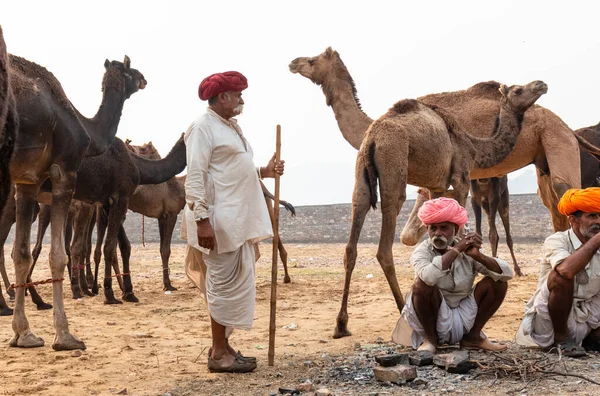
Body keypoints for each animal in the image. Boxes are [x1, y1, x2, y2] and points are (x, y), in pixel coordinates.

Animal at [7, 55, 145, 350]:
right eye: (131, 70)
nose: (144, 79)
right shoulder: (64, 173)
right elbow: (58, 254)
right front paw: (65, 335)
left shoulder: (27, 182)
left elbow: (21, 253)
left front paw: (24, 334)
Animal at [290, 48, 600, 246]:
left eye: (312, 59)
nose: (293, 62)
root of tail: (566, 126)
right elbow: (411, 235)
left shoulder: (430, 179)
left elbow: (416, 231)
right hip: (543, 160)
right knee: (556, 208)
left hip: (557, 142)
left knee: (568, 193)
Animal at [328, 79, 544, 338]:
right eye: (518, 90)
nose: (541, 84)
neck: (474, 146)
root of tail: (372, 139)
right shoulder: (461, 177)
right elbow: (457, 219)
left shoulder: (436, 186)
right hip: (393, 165)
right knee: (384, 246)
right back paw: (402, 310)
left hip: (360, 171)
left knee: (352, 238)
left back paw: (341, 324)